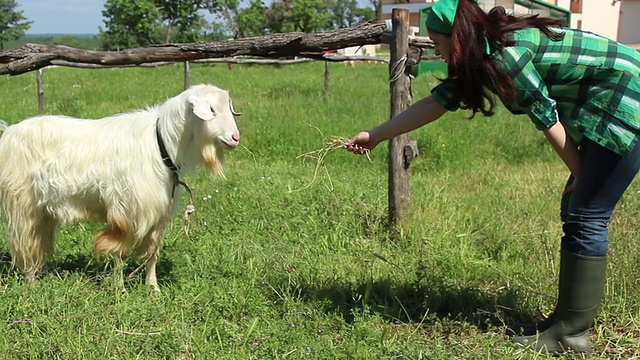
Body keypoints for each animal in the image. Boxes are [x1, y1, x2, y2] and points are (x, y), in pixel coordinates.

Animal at [0, 83, 241, 290]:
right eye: (211, 109)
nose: (235, 138)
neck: (160, 143)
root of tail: (8, 132)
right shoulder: (125, 209)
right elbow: (120, 253)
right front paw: (120, 289)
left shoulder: (159, 210)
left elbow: (152, 252)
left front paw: (153, 289)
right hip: (24, 205)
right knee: (26, 245)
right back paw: (32, 283)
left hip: (42, 211)